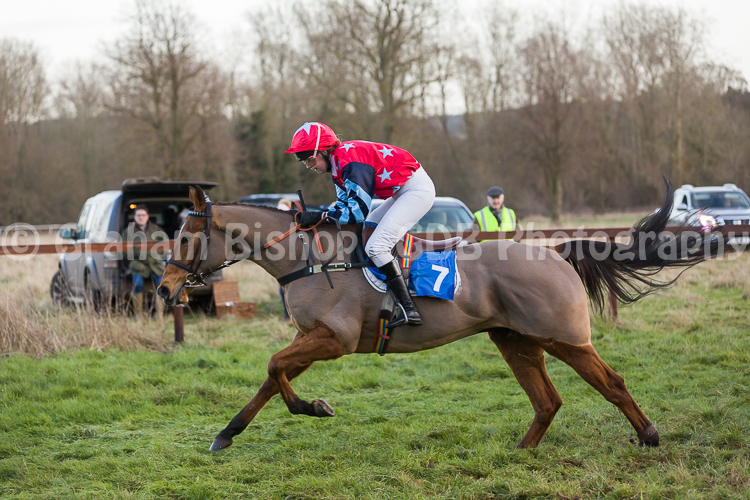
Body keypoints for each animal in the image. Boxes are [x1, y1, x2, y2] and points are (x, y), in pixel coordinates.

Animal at [157, 181, 724, 452]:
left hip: (564, 338)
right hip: (515, 340)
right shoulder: (313, 338)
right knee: (548, 400)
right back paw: (520, 451)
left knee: (611, 383)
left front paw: (314, 407)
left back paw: (648, 436)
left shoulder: (333, 338)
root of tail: (558, 252)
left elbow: (275, 368)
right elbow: (270, 379)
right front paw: (228, 432)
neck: (308, 256)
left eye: (185, 238)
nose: (164, 290)